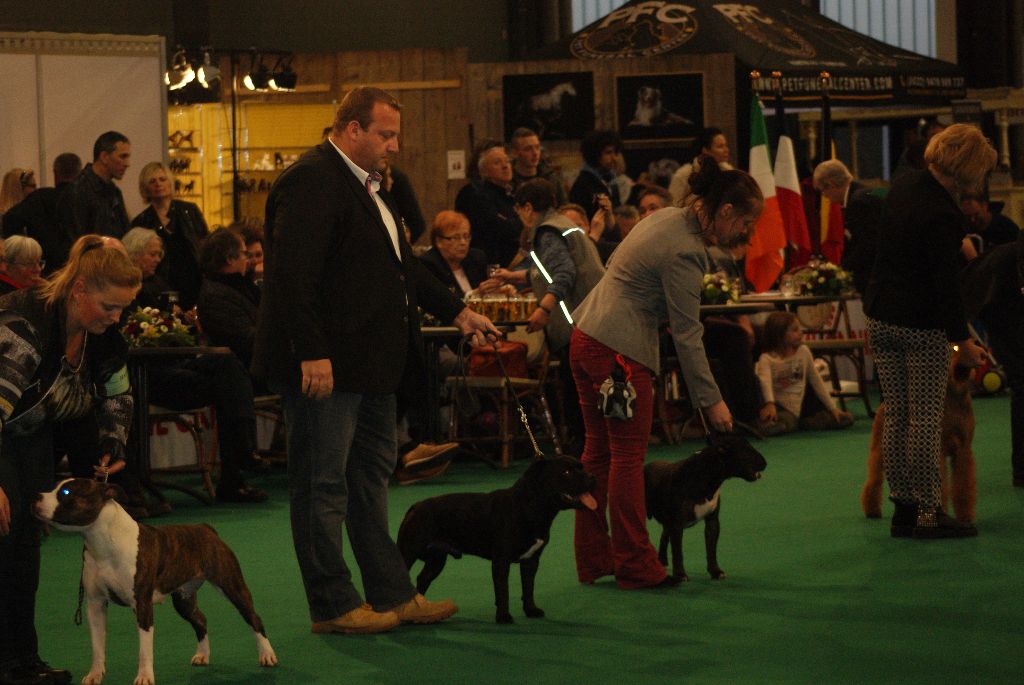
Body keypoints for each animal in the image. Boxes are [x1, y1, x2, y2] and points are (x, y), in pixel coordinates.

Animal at [34, 478, 277, 685]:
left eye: (66, 492)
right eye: (54, 487)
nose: (36, 496)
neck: (102, 543)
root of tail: (206, 528)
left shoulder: (142, 604)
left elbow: (144, 649)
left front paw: (144, 677)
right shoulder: (95, 604)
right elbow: (97, 645)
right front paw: (94, 675)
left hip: (231, 585)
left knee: (253, 617)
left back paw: (267, 655)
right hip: (184, 598)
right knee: (200, 619)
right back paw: (202, 655)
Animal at [397, 456, 596, 624]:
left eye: (581, 467)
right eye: (566, 472)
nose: (592, 477)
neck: (529, 506)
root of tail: (415, 507)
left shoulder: (531, 561)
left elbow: (528, 587)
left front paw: (531, 610)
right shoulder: (501, 561)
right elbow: (503, 590)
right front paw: (503, 617)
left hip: (436, 560)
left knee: (423, 578)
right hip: (408, 553)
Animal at [644, 437, 767, 581]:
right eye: (746, 451)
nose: (765, 463)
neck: (704, 474)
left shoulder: (712, 521)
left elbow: (711, 549)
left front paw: (716, 571)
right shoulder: (677, 525)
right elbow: (678, 552)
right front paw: (680, 574)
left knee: (664, 536)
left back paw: (661, 561)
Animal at [861, 353, 977, 522]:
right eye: (953, 350)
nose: (962, 369)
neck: (953, 399)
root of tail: (884, 405)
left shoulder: (963, 450)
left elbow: (963, 486)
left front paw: (965, 517)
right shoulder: (939, 452)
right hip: (879, 451)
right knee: (873, 480)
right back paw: (872, 511)